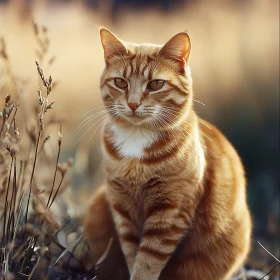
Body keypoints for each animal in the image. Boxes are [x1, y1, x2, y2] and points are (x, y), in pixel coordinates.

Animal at [83, 28, 252, 280]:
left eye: (155, 84)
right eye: (120, 82)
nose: (133, 104)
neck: (137, 140)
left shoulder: (171, 210)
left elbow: (148, 261)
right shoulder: (122, 208)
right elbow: (132, 253)